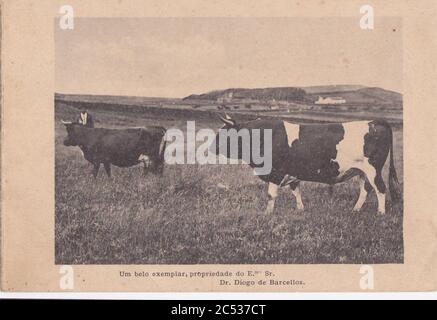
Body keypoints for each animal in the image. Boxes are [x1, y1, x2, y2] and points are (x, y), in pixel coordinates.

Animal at [210, 115, 398, 215]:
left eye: (224, 134)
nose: (211, 147)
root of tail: (374, 121)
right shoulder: (293, 172)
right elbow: (296, 191)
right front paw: (300, 209)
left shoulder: (276, 172)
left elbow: (271, 195)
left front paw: (267, 213)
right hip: (361, 171)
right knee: (365, 190)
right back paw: (356, 209)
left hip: (373, 169)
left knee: (380, 188)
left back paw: (380, 213)